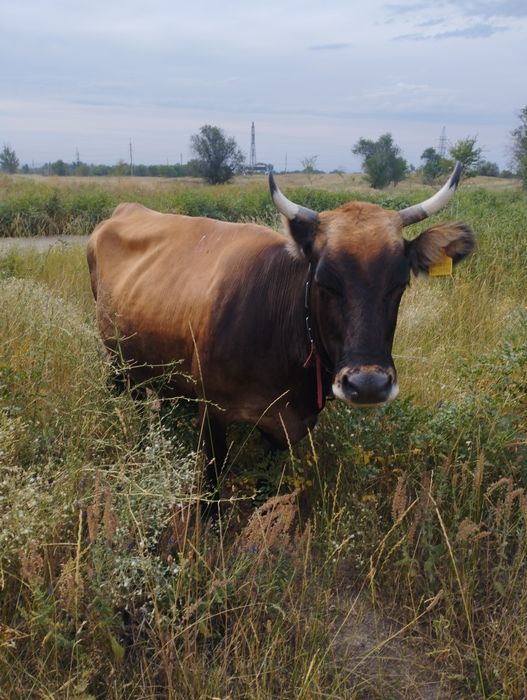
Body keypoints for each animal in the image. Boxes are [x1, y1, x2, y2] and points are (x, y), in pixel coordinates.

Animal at [87, 163, 474, 506]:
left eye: (400, 283)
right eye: (324, 282)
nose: (368, 385)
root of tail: (123, 210)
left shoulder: (286, 426)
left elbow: (265, 487)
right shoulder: (212, 415)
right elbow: (211, 491)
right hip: (116, 363)